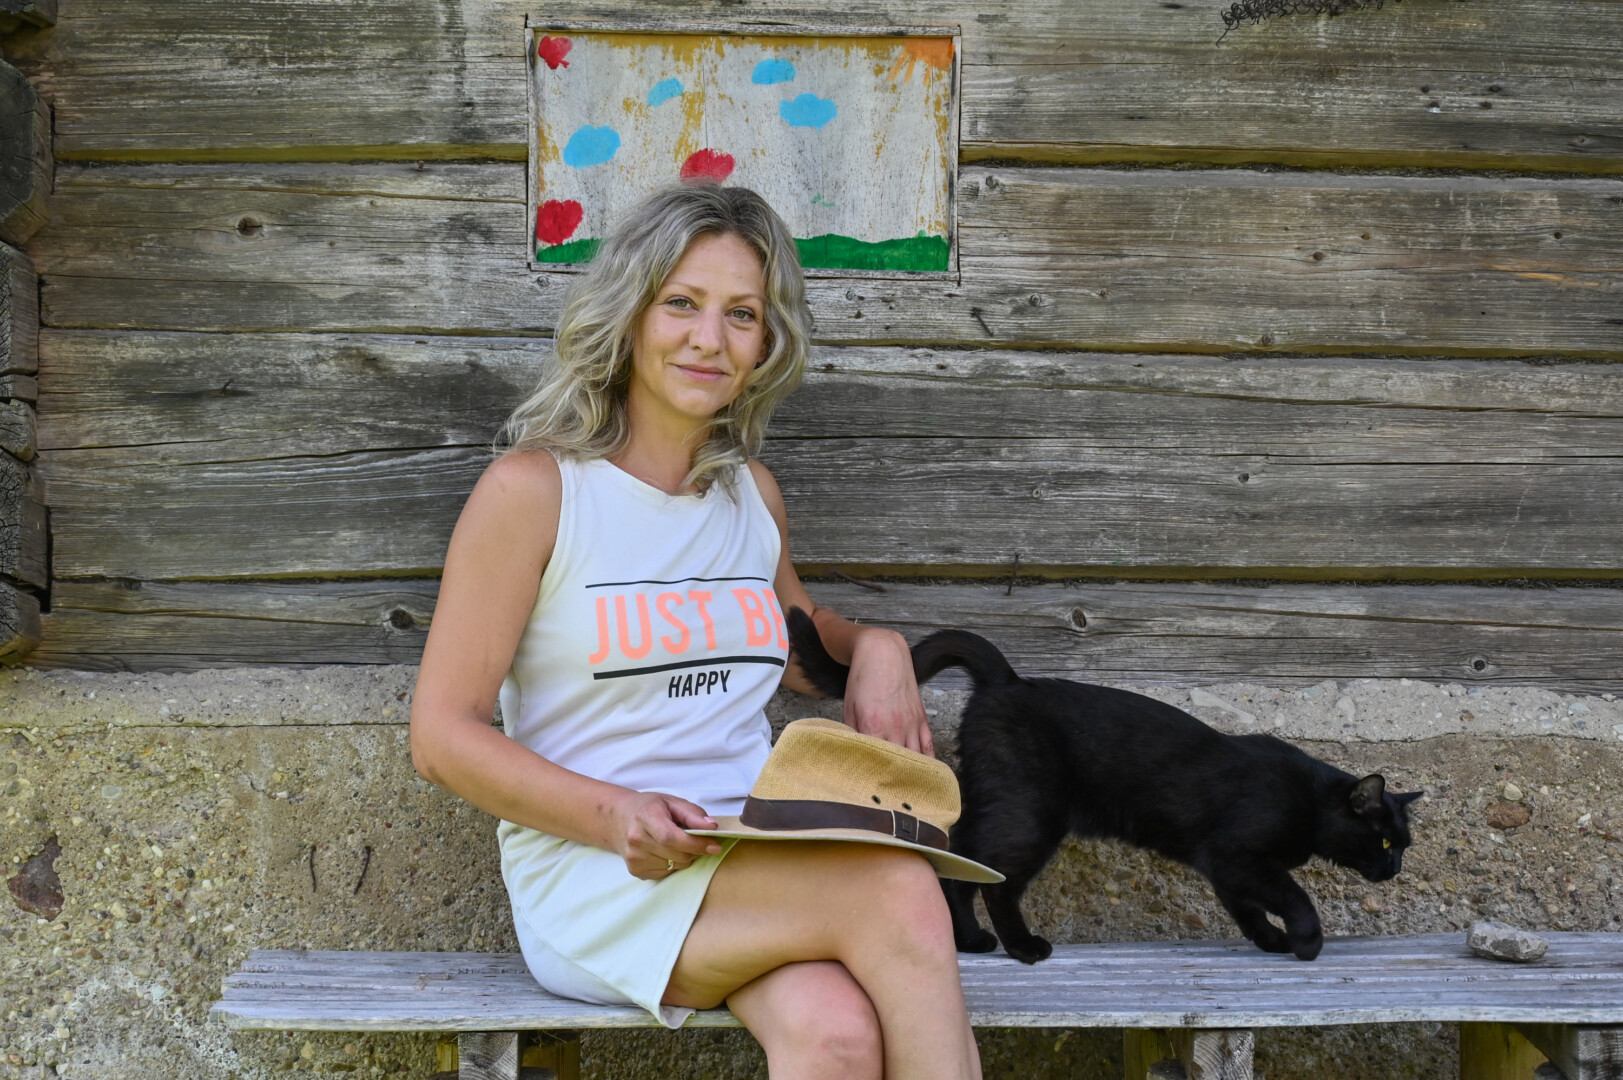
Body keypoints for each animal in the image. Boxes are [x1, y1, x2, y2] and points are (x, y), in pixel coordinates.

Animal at [785, 607, 1421, 963]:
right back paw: (1023, 948)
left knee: (961, 866)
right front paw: (1307, 942)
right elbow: (1293, 897)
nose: (1394, 870)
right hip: (1030, 815)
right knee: (996, 881)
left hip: (998, 803)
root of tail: (1005, 680)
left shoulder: (1227, 869)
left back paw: (972, 942)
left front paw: (1272, 943)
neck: (1310, 802)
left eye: (1402, 847)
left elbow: (1249, 911)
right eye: (1386, 842)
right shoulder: (1239, 856)